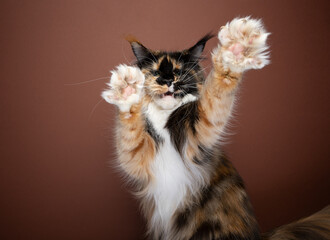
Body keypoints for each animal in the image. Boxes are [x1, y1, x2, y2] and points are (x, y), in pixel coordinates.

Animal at [101, 17, 330, 240]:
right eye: (156, 71)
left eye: (178, 71)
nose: (167, 80)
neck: (164, 118)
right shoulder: (136, 156)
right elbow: (129, 128)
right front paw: (127, 90)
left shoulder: (200, 131)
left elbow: (218, 92)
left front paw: (237, 49)